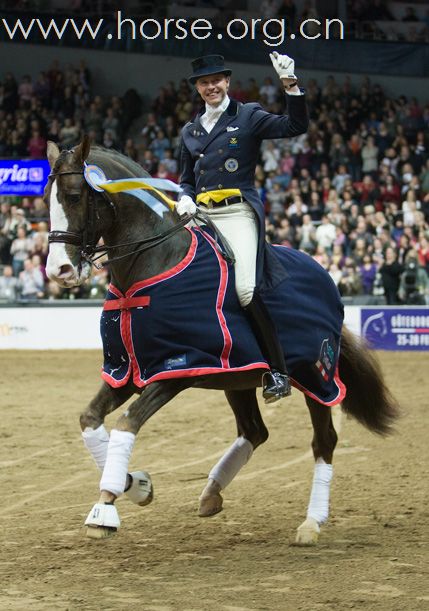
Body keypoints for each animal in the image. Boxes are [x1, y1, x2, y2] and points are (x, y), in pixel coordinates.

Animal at [43, 136, 398, 544]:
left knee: (323, 441)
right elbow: (89, 420)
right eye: (46, 199)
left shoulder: (176, 369)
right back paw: (212, 493)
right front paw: (138, 486)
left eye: (74, 196)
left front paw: (105, 508)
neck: (154, 261)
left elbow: (126, 424)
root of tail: (325, 276)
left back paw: (311, 523)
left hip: (316, 377)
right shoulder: (126, 371)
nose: (58, 270)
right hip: (238, 377)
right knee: (255, 431)